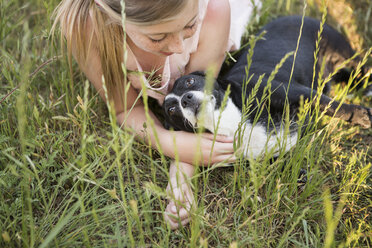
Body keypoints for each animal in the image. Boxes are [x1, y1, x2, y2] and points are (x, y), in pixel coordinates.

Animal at [163, 16, 372, 159]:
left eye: (189, 82)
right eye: (172, 110)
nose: (185, 99)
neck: (235, 120)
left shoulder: (294, 93)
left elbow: (333, 106)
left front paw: (361, 115)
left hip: (343, 51)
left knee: (362, 66)